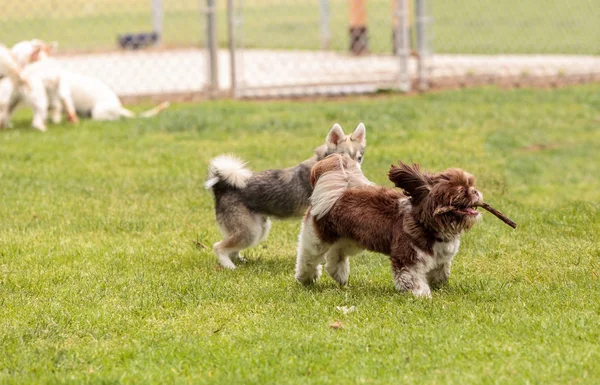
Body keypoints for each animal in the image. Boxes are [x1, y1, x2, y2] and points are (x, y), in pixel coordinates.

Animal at [205, 123, 366, 268]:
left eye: (359, 158)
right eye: (343, 158)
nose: (356, 174)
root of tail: (222, 186)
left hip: (258, 229)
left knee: (232, 249)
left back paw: (239, 261)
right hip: (250, 231)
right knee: (218, 247)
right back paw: (229, 266)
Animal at [296, 155, 482, 296]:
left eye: (472, 185)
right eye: (460, 192)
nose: (475, 192)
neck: (427, 223)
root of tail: (337, 193)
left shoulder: (442, 258)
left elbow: (441, 272)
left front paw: (438, 285)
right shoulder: (407, 257)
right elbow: (412, 279)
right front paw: (422, 295)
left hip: (352, 238)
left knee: (336, 254)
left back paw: (339, 274)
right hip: (318, 239)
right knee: (308, 257)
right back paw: (306, 277)